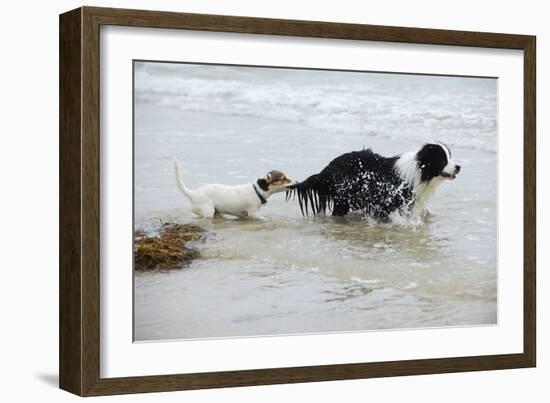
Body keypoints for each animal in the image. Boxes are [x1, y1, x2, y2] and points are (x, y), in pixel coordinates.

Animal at [288, 144, 462, 221]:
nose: (458, 167)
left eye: (450, 156)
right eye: (442, 160)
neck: (421, 171)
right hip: (343, 197)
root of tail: (327, 169)